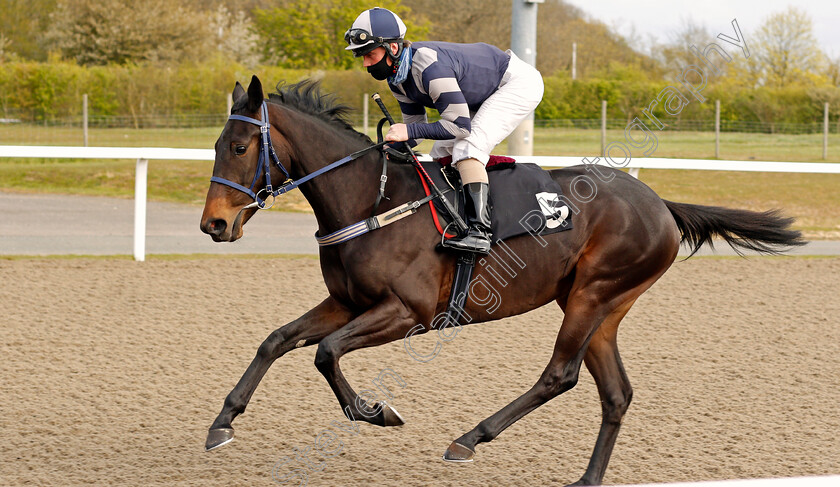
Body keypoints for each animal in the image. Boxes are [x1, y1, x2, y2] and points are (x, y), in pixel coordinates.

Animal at [199, 76, 808, 487]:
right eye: (216, 146)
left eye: (239, 147)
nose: (214, 225)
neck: (370, 199)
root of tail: (659, 203)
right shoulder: (347, 301)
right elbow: (277, 339)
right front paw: (222, 423)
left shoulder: (407, 313)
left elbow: (325, 353)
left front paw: (376, 412)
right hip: (602, 306)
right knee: (615, 393)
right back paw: (586, 478)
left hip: (592, 295)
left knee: (560, 375)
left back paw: (469, 438)